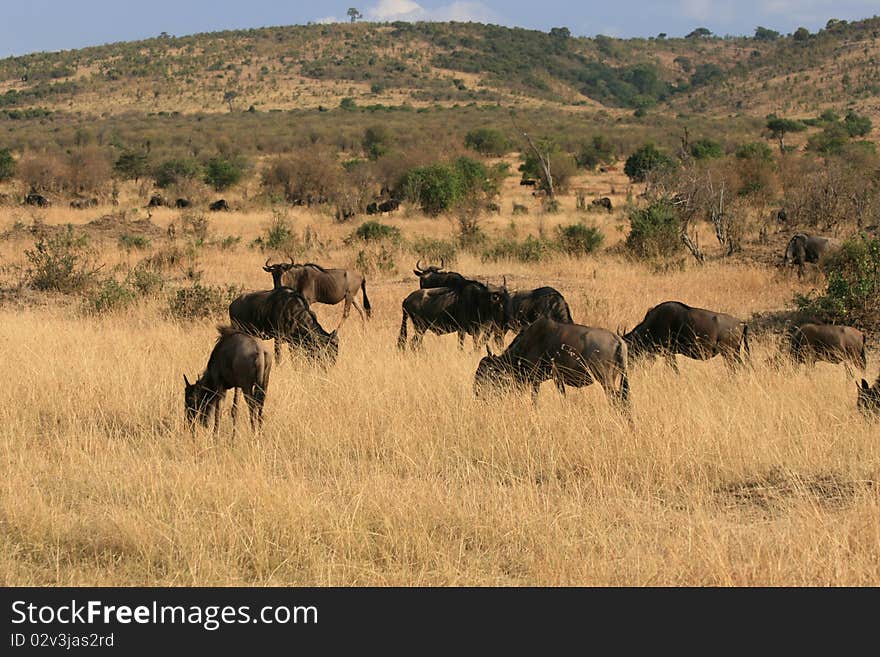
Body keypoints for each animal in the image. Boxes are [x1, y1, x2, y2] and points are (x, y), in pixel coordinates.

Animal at [478, 316, 628, 410]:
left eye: (486, 372)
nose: (476, 392)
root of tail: (617, 339)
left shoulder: (536, 381)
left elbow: (535, 400)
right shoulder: (557, 379)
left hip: (605, 381)